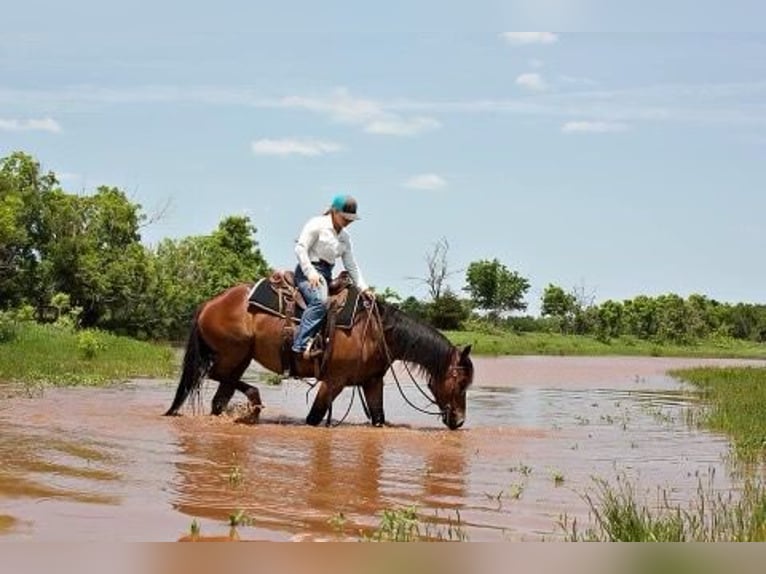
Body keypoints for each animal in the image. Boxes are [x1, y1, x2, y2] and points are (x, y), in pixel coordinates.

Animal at [164, 282, 474, 430]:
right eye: (460, 383)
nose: (459, 421)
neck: (376, 332)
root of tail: (209, 303)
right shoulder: (333, 381)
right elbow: (314, 418)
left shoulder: (372, 382)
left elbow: (378, 418)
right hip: (231, 355)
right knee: (214, 374)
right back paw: (254, 399)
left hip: (239, 359)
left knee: (219, 398)